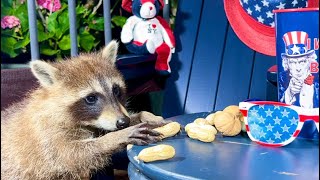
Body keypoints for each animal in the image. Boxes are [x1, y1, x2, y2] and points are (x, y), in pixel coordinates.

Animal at [1, 40, 168, 180]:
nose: (123, 122)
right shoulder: (47, 136)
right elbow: (70, 156)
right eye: (91, 98)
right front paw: (115, 138)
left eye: (115, 90)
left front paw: (143, 116)